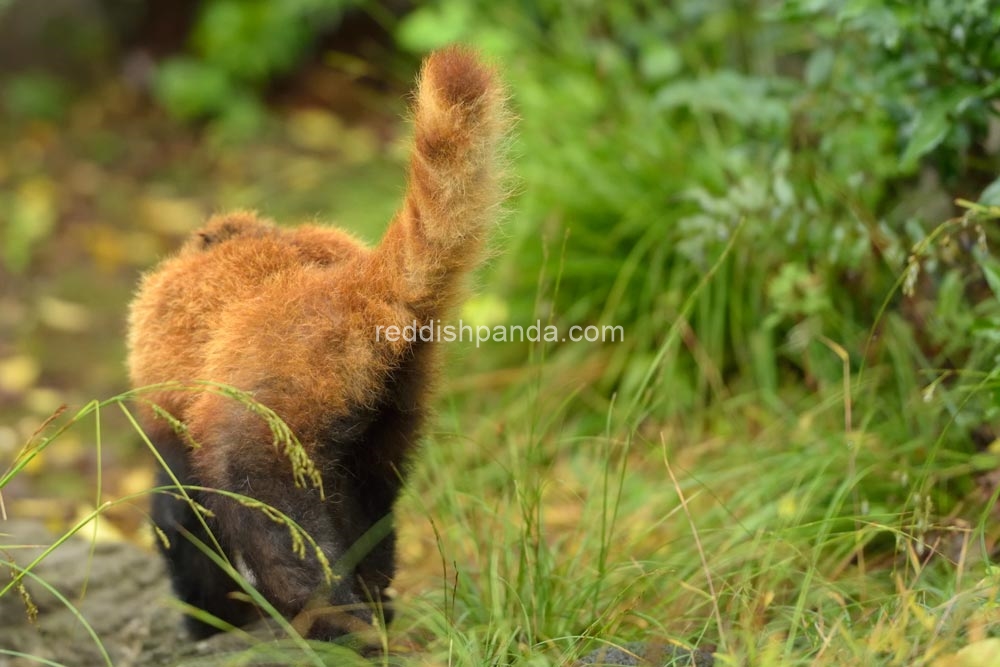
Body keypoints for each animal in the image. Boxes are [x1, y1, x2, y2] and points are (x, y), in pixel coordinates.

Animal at [127, 45, 508, 640]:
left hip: (267, 417)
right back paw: (374, 608)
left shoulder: (174, 427)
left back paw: (336, 625)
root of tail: (346, 286)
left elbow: (182, 521)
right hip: (390, 406)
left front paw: (210, 619)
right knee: (369, 517)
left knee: (278, 532)